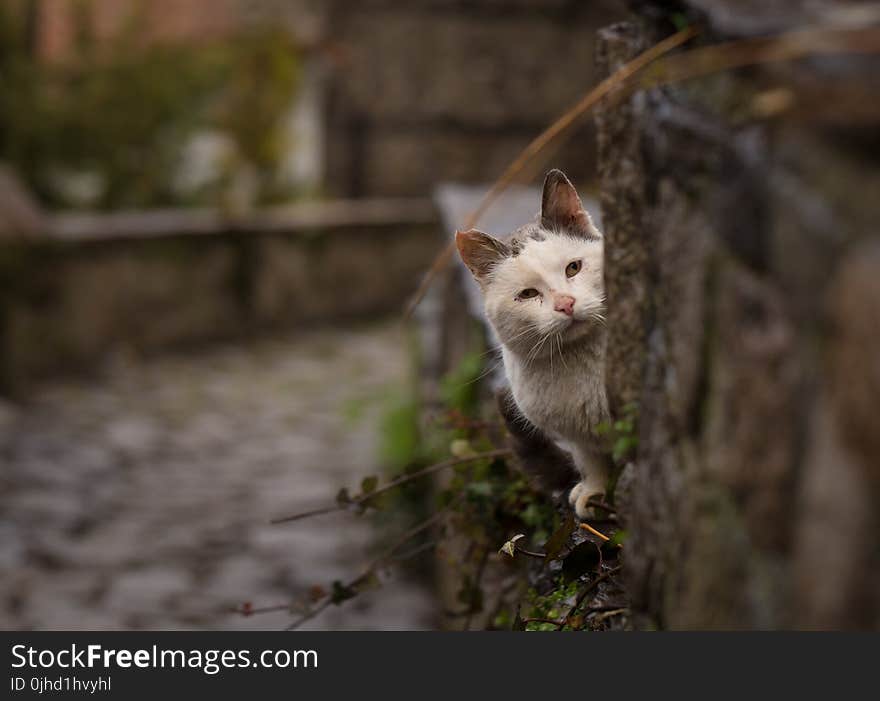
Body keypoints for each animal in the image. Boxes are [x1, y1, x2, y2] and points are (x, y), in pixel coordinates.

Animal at [458, 170, 608, 520]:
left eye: (573, 268)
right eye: (528, 294)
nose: (565, 304)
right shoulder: (580, 439)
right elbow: (593, 461)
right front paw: (594, 492)